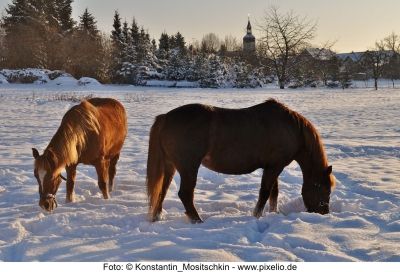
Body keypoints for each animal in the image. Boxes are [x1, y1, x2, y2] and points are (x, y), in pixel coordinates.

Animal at [147, 100, 334, 223]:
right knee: (185, 194)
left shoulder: (273, 166)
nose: (323, 212)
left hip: (170, 166)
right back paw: (197, 220)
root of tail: (166, 117)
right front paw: (256, 215)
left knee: (162, 191)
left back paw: (157, 217)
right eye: (323, 188)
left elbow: (274, 192)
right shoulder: (274, 167)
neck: (291, 129)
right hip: (189, 167)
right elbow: (265, 192)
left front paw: (274, 213)